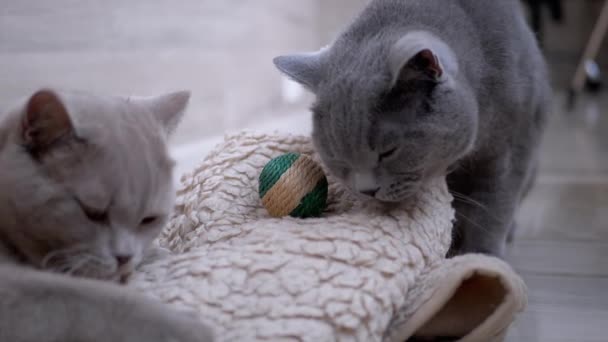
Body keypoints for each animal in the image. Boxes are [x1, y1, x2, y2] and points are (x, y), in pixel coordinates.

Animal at [0, 89, 214, 342]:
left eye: (148, 220)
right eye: (93, 213)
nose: (124, 257)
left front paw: (156, 254)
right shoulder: (22, 291)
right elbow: (82, 300)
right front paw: (188, 328)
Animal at [274, 0, 548, 256]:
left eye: (388, 152)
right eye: (337, 158)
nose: (367, 190)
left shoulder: (513, 145)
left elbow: (494, 204)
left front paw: (482, 256)